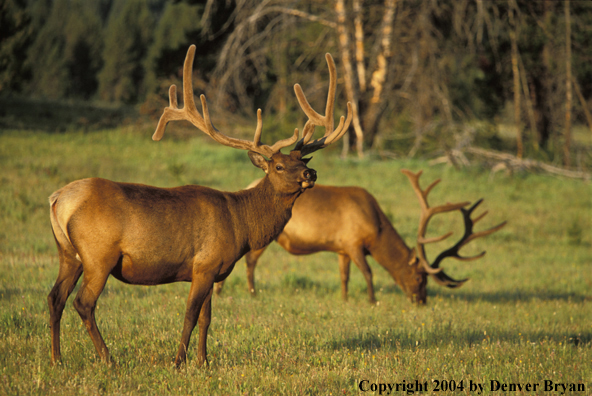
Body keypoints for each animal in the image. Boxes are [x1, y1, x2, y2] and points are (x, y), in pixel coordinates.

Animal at [47, 45, 352, 366]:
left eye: (302, 161)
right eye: (279, 166)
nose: (311, 174)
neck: (242, 225)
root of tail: (59, 199)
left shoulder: (214, 269)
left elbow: (207, 319)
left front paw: (203, 361)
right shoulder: (205, 264)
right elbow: (191, 316)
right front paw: (179, 361)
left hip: (69, 253)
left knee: (55, 298)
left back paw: (57, 359)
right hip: (98, 254)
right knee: (83, 303)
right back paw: (108, 359)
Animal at [215, 169, 506, 304]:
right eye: (418, 277)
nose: (421, 301)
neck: (375, 229)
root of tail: (248, 186)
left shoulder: (342, 249)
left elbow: (344, 276)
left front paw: (344, 299)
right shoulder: (353, 242)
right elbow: (368, 272)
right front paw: (372, 299)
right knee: (250, 261)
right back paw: (249, 292)